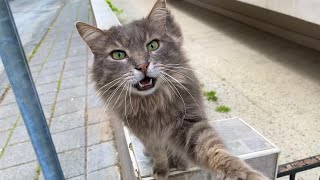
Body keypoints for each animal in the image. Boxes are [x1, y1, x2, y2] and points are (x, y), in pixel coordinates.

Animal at [76, 0, 268, 180]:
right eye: (118, 55)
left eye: (152, 45)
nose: (142, 66)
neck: (152, 104)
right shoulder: (148, 136)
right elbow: (159, 154)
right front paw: (161, 170)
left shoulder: (190, 122)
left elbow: (213, 151)